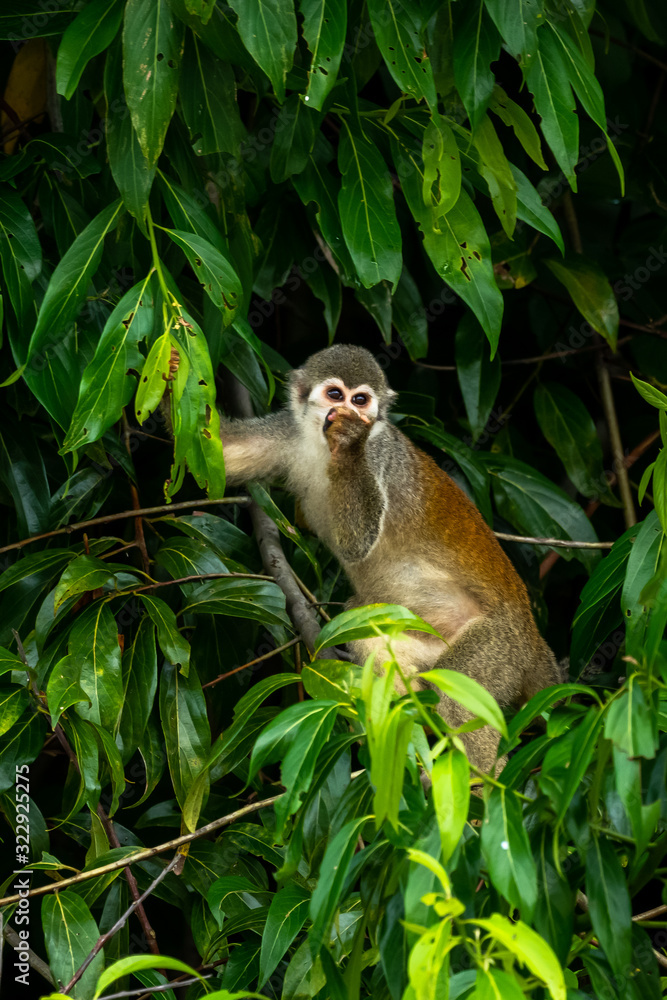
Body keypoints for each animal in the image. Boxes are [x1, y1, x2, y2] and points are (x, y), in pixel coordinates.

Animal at [220, 344, 560, 772]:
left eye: (360, 401)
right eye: (335, 394)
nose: (346, 413)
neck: (322, 449)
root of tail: (531, 633)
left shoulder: (378, 454)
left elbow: (358, 539)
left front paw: (350, 443)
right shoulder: (287, 433)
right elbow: (221, 452)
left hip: (500, 644)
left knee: (461, 695)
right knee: (368, 628)